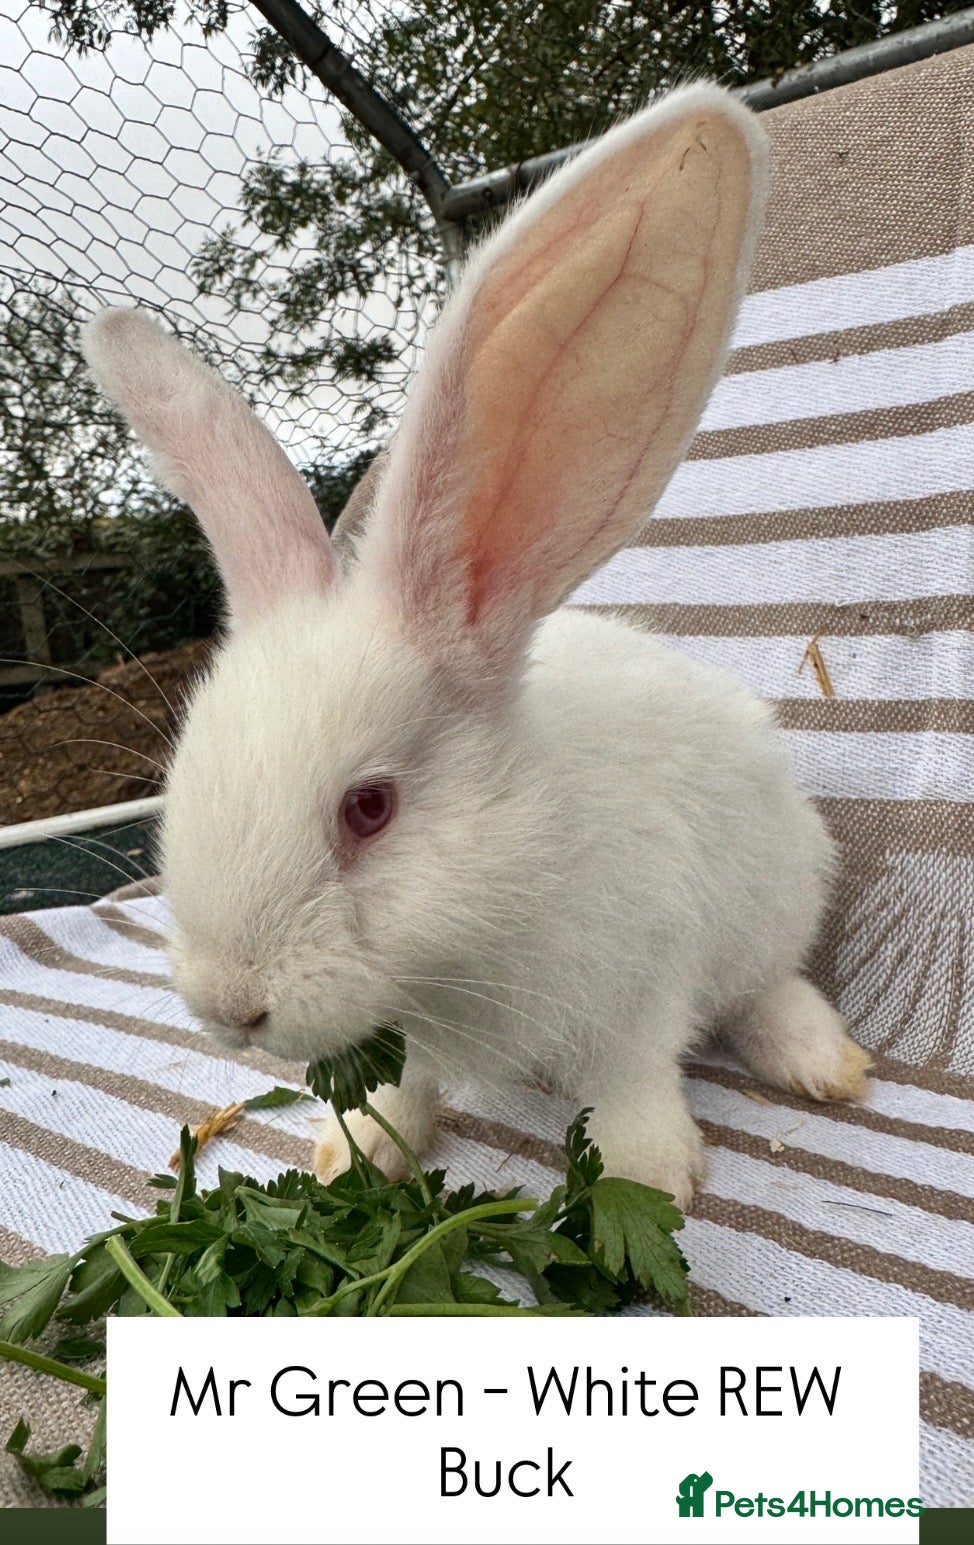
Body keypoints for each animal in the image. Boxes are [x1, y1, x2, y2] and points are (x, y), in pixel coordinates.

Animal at [81, 84, 871, 1209]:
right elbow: (397, 1093)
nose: (231, 1005)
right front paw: (351, 1157)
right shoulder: (407, 1038)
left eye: (369, 808)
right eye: (179, 781)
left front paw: (646, 1182)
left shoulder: (639, 981)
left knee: (766, 985)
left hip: (772, 895)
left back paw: (821, 1062)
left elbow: (632, 1082)